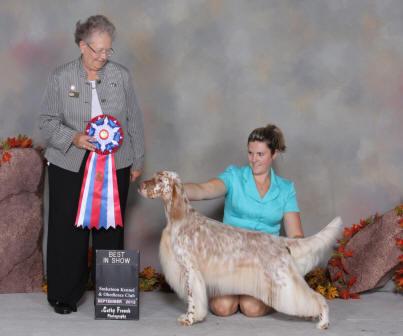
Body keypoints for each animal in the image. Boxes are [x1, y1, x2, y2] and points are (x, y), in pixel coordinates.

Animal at [140, 171, 344, 328]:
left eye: (160, 180)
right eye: (153, 176)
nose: (140, 185)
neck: (179, 218)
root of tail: (279, 241)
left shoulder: (190, 270)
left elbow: (192, 300)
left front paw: (190, 319)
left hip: (283, 281)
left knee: (316, 298)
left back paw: (323, 322)